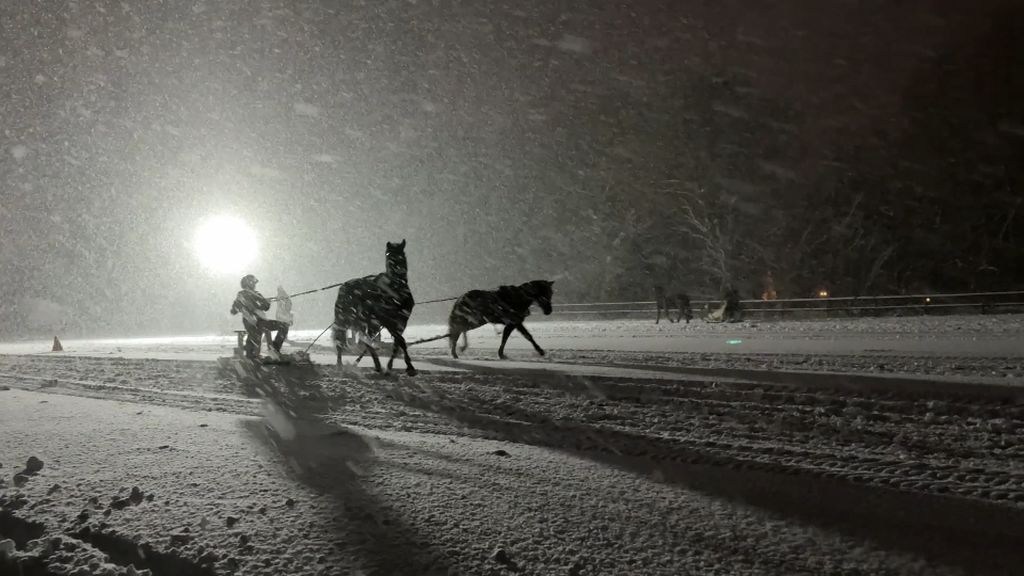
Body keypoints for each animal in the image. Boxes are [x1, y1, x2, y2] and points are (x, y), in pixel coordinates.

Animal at [332, 239, 417, 375]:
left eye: (402, 254)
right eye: (387, 254)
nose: (396, 268)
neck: (394, 292)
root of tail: (343, 286)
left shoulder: (401, 323)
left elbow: (398, 343)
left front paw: (391, 366)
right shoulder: (388, 322)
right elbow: (401, 341)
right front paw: (409, 367)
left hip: (367, 323)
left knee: (366, 342)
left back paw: (377, 365)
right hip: (345, 320)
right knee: (341, 340)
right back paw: (340, 365)